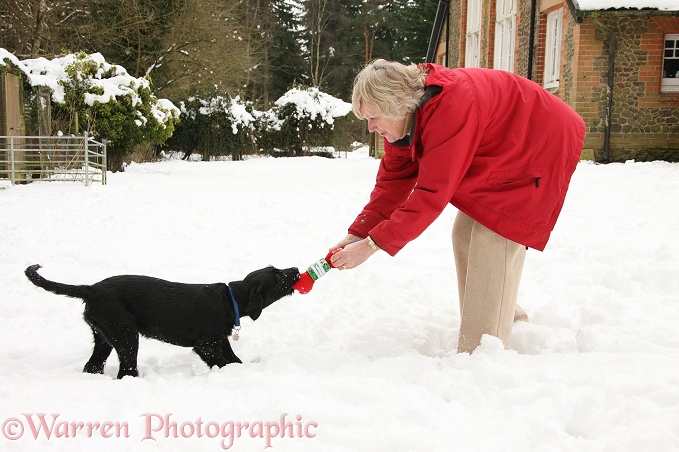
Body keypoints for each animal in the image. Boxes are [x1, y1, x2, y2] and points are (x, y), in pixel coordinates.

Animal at [25, 264, 300, 380]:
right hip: (125, 333)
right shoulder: (206, 345)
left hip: (104, 336)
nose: (296, 269)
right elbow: (222, 363)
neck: (229, 299)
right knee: (126, 370)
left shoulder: (220, 340)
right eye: (277, 275)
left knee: (93, 365)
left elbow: (233, 359)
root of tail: (90, 289)